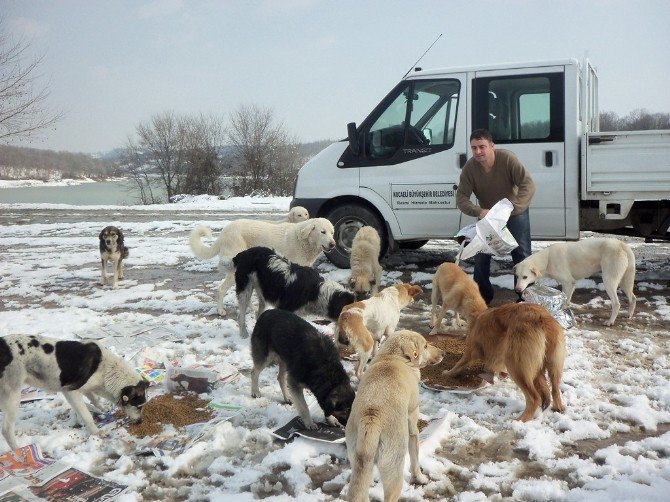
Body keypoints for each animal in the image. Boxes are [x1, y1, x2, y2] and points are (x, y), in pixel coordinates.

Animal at [0, 336, 148, 450]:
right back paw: (18, 451)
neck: (107, 370)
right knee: (6, 430)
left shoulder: (88, 388)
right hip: (13, 396)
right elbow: (86, 415)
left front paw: (102, 408)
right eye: (138, 406)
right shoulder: (71, 392)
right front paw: (96, 432)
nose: (140, 422)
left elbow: (95, 399)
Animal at [219, 246, 356, 338]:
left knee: (258, 312)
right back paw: (244, 334)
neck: (316, 291)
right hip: (245, 289)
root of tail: (242, 254)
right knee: (240, 315)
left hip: (262, 292)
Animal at [346, 330, 446, 502]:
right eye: (425, 345)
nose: (443, 353)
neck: (392, 357)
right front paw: (420, 478)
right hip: (394, 471)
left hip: (359, 463)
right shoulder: (413, 423)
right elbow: (415, 458)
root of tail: (372, 418)